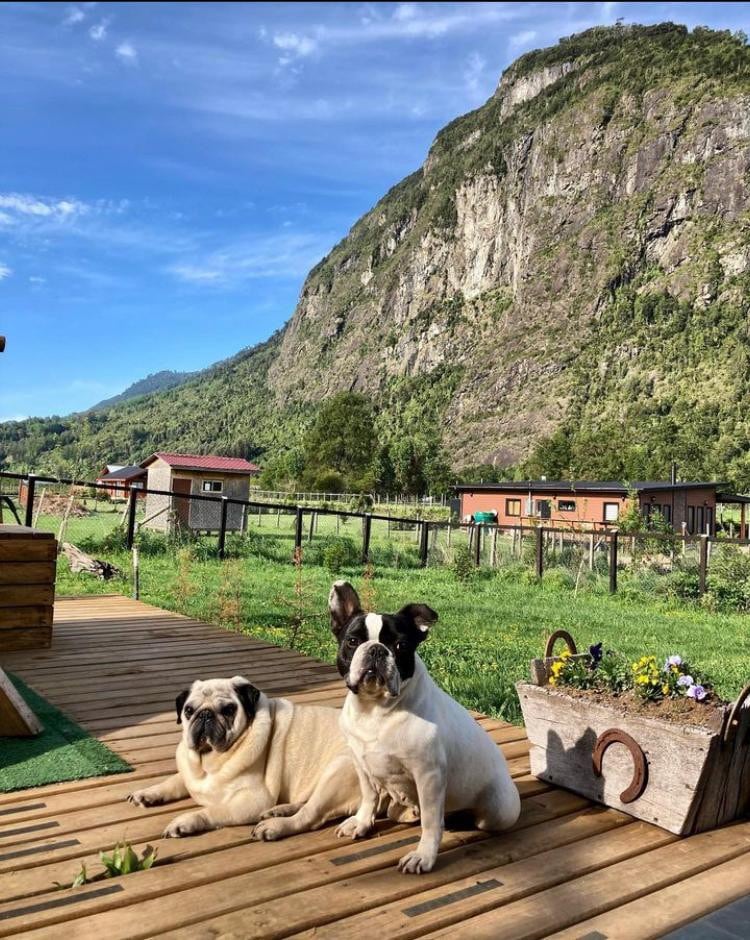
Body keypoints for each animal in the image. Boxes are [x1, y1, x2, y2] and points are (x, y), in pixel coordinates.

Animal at [130, 672, 364, 840]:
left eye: (228, 710)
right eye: (189, 710)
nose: (204, 714)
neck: (209, 761)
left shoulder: (253, 800)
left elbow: (212, 810)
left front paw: (186, 821)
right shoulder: (191, 776)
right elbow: (172, 782)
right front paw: (148, 793)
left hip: (339, 770)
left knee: (310, 815)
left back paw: (276, 826)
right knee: (306, 804)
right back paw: (279, 811)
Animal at [330, 580, 524, 872]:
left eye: (400, 645)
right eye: (352, 641)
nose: (376, 649)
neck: (375, 709)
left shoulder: (429, 775)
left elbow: (431, 822)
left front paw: (424, 855)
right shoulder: (361, 764)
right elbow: (369, 796)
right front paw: (362, 822)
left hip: (500, 809)